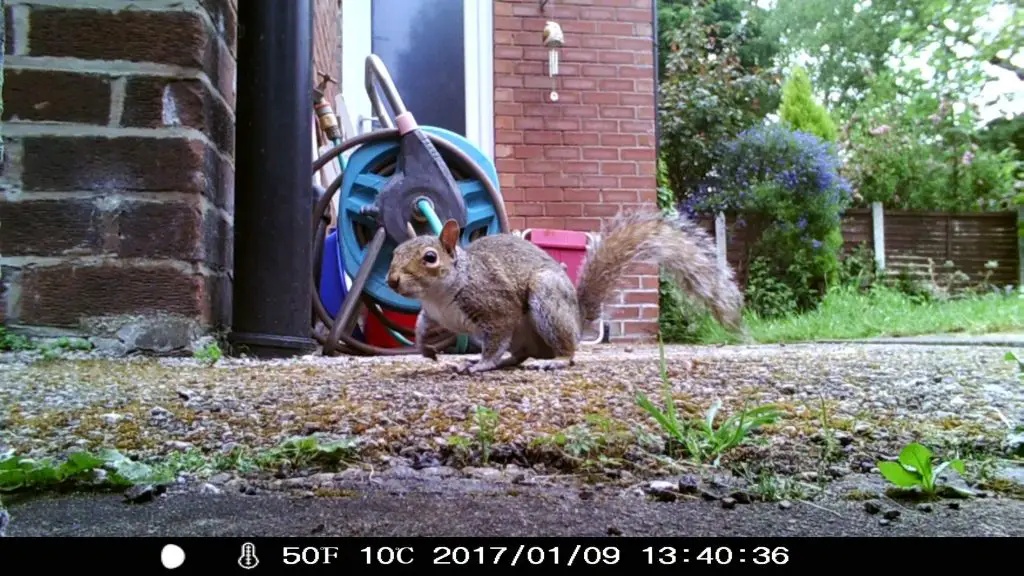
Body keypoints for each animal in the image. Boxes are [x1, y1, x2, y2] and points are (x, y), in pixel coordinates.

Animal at [385, 206, 745, 373]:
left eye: (430, 258)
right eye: (394, 252)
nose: (391, 280)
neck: (440, 295)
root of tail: (576, 318)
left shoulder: (495, 307)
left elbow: (495, 339)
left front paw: (481, 364)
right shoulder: (433, 313)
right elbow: (421, 326)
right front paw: (425, 349)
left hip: (546, 302)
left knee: (566, 351)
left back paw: (554, 360)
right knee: (519, 354)